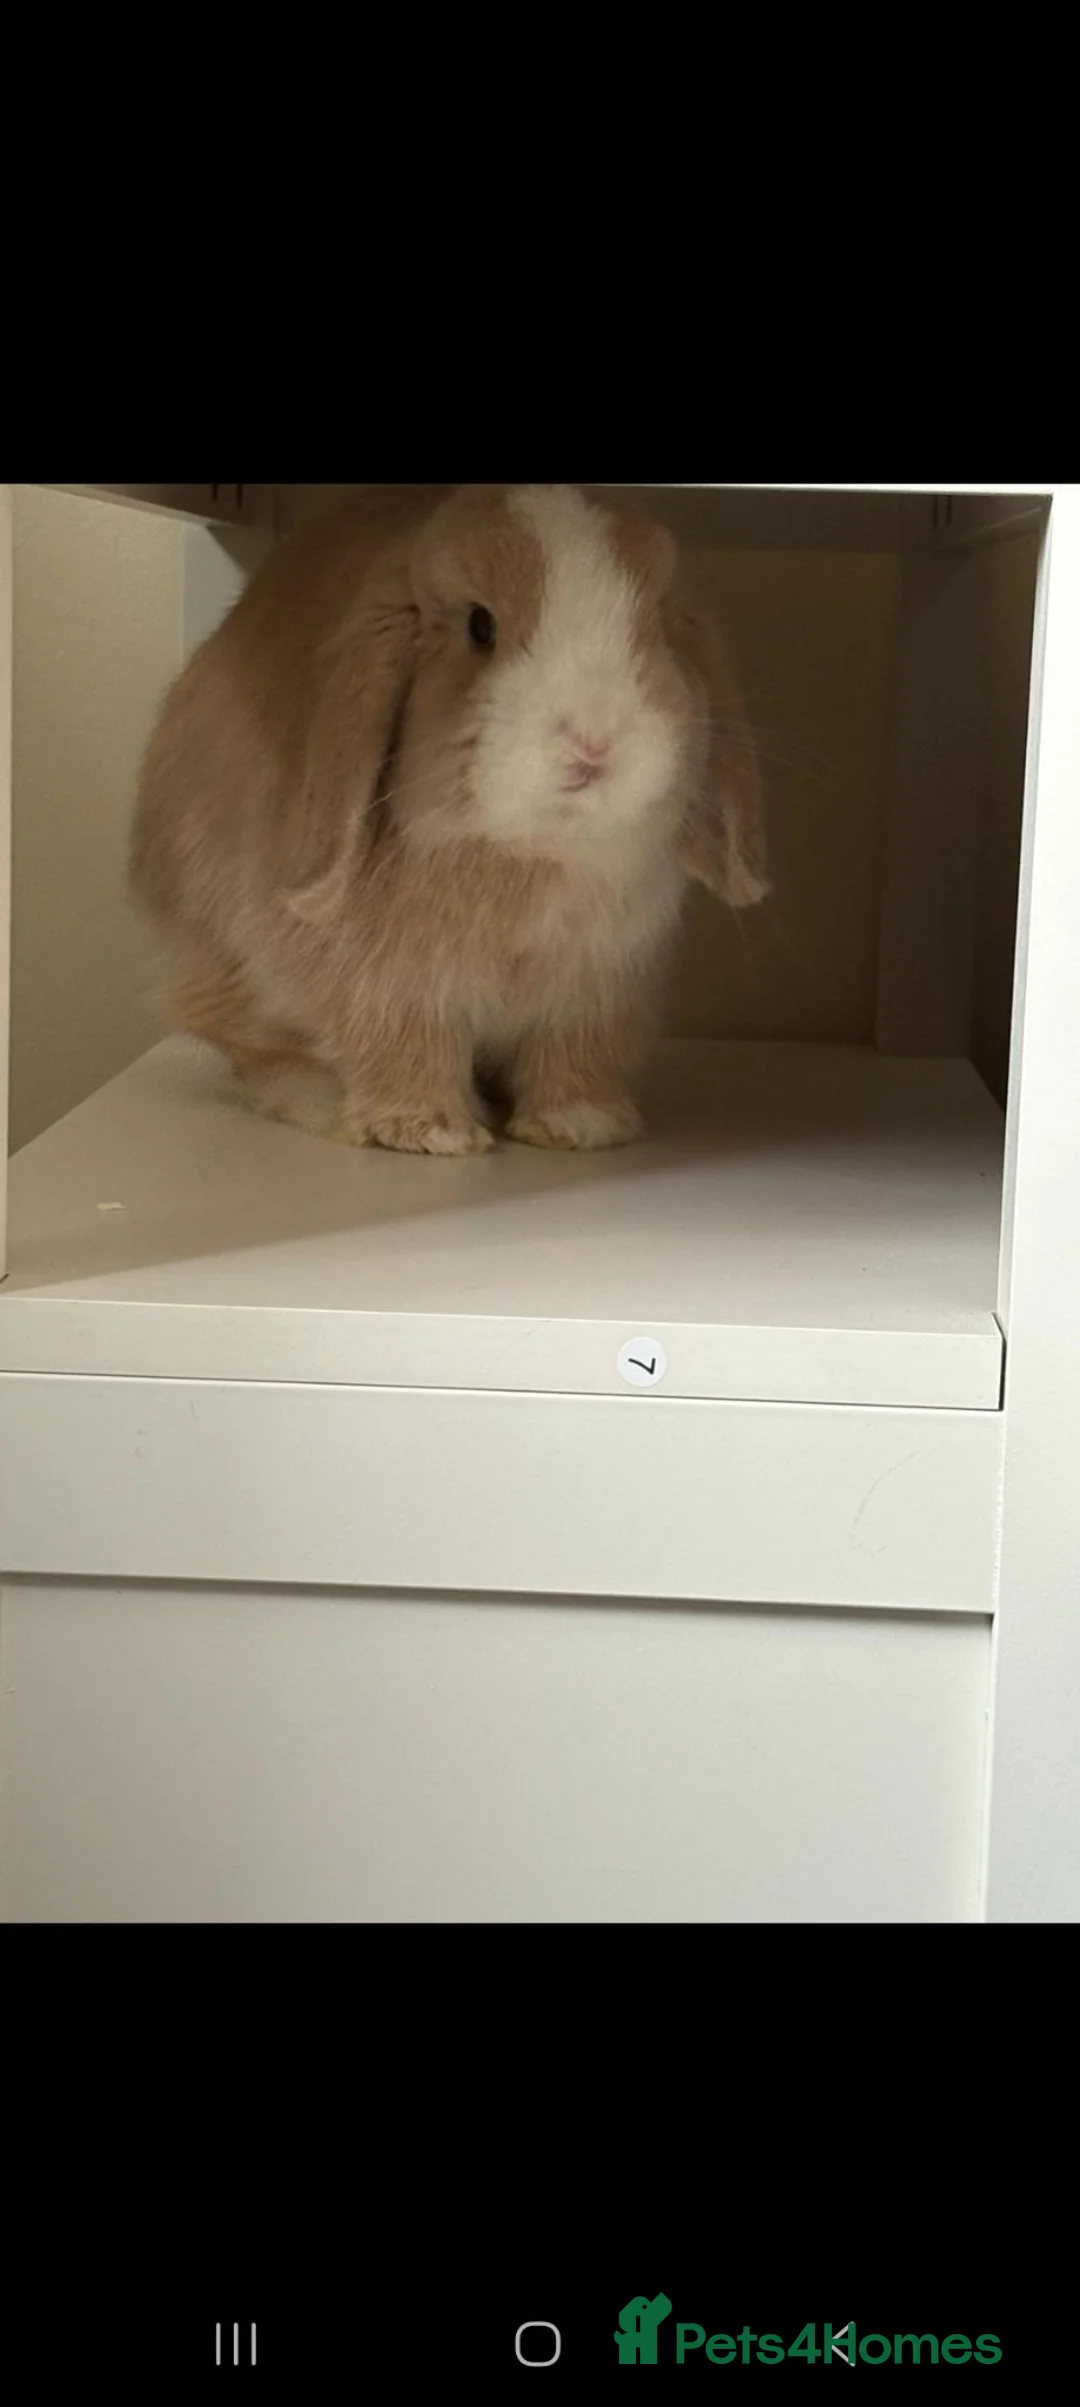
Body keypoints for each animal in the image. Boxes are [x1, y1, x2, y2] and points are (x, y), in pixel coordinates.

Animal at [129, 483, 767, 1155]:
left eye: (655, 628)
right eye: (479, 626)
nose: (594, 740)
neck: (536, 851)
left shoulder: (594, 991)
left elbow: (572, 1056)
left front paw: (581, 1126)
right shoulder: (390, 985)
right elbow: (406, 1047)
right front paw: (432, 1133)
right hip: (225, 964)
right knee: (254, 1053)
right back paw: (323, 1105)